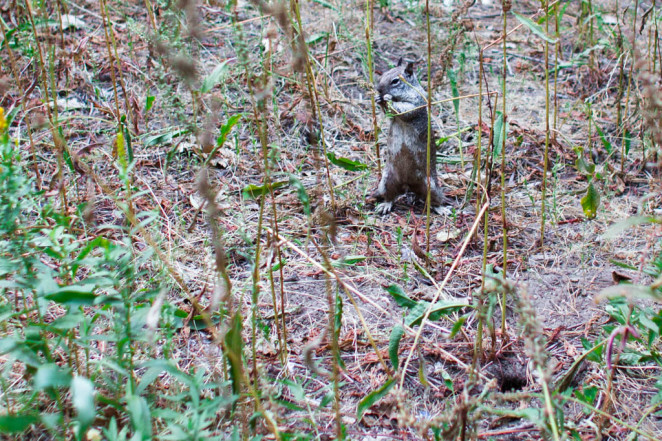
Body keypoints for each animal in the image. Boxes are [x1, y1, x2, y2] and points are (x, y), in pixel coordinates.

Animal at [376, 58, 448, 215]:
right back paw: (385, 205)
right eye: (382, 74)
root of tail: (408, 185)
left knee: (434, 200)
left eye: (395, 81)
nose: (378, 89)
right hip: (386, 182)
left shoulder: (416, 102)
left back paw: (441, 208)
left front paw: (388, 98)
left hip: (432, 187)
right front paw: (378, 98)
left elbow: (404, 109)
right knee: (390, 196)